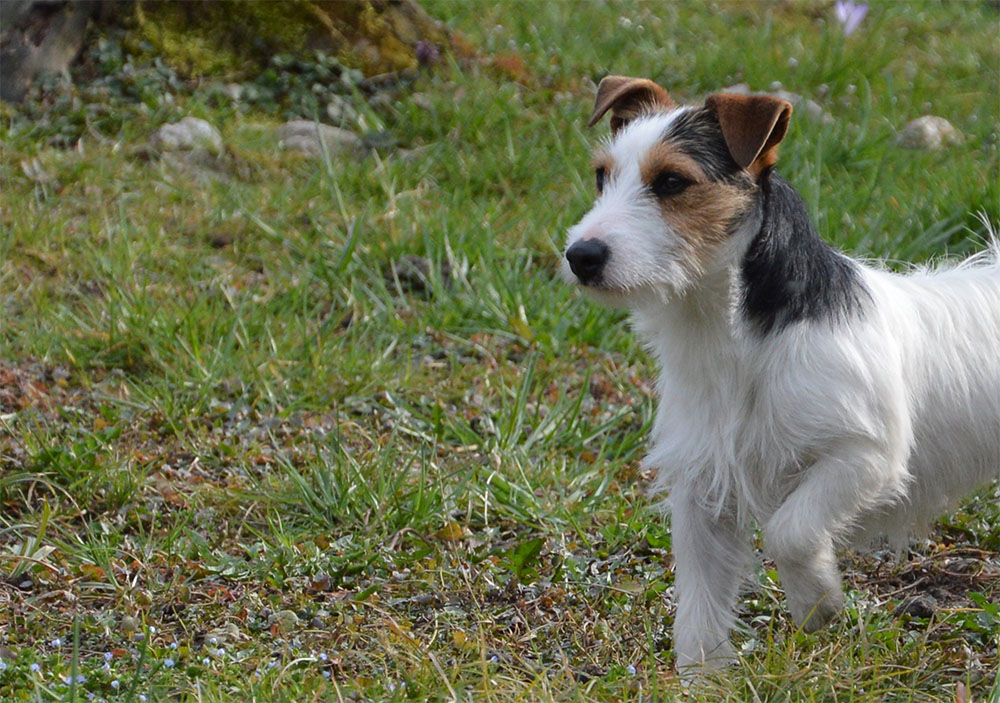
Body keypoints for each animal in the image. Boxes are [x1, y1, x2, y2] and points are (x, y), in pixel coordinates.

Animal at [564, 77, 1000, 676]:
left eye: (672, 181)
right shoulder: (703, 489)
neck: (730, 338)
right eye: (601, 177)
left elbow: (789, 531)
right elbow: (698, 605)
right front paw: (701, 678)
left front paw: (817, 600)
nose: (580, 255)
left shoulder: (866, 456)